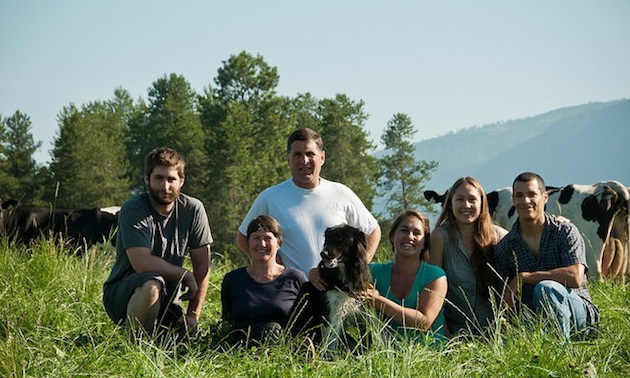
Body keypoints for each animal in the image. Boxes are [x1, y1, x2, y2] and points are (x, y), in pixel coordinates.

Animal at [292, 224, 376, 352]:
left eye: (340, 239)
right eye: (327, 239)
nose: (323, 254)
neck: (344, 273)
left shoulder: (361, 311)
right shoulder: (332, 315)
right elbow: (332, 344)